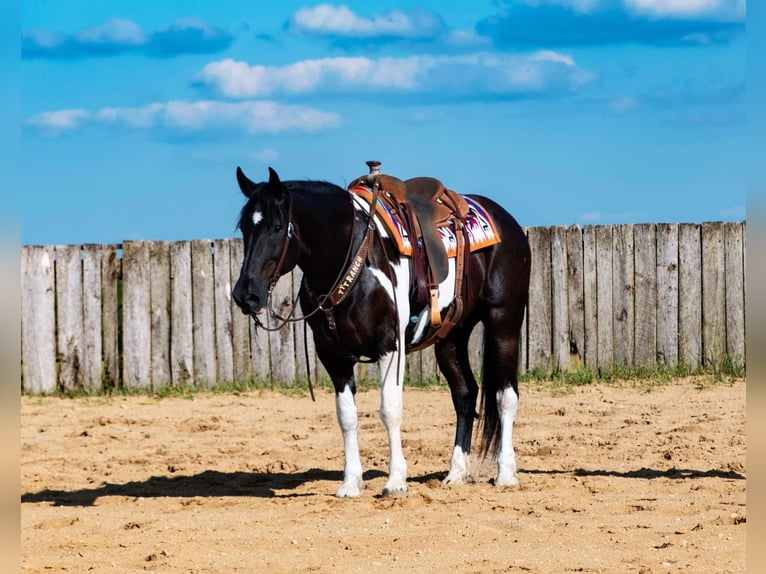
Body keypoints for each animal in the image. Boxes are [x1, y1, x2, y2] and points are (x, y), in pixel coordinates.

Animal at [234, 164, 532, 498]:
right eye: (244, 227)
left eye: (275, 227)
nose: (246, 295)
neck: (351, 257)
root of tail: (506, 221)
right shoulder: (333, 357)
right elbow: (347, 417)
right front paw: (351, 483)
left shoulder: (389, 347)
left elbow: (390, 410)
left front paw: (395, 481)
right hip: (451, 336)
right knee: (465, 395)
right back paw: (456, 473)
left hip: (503, 322)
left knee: (505, 396)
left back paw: (505, 473)